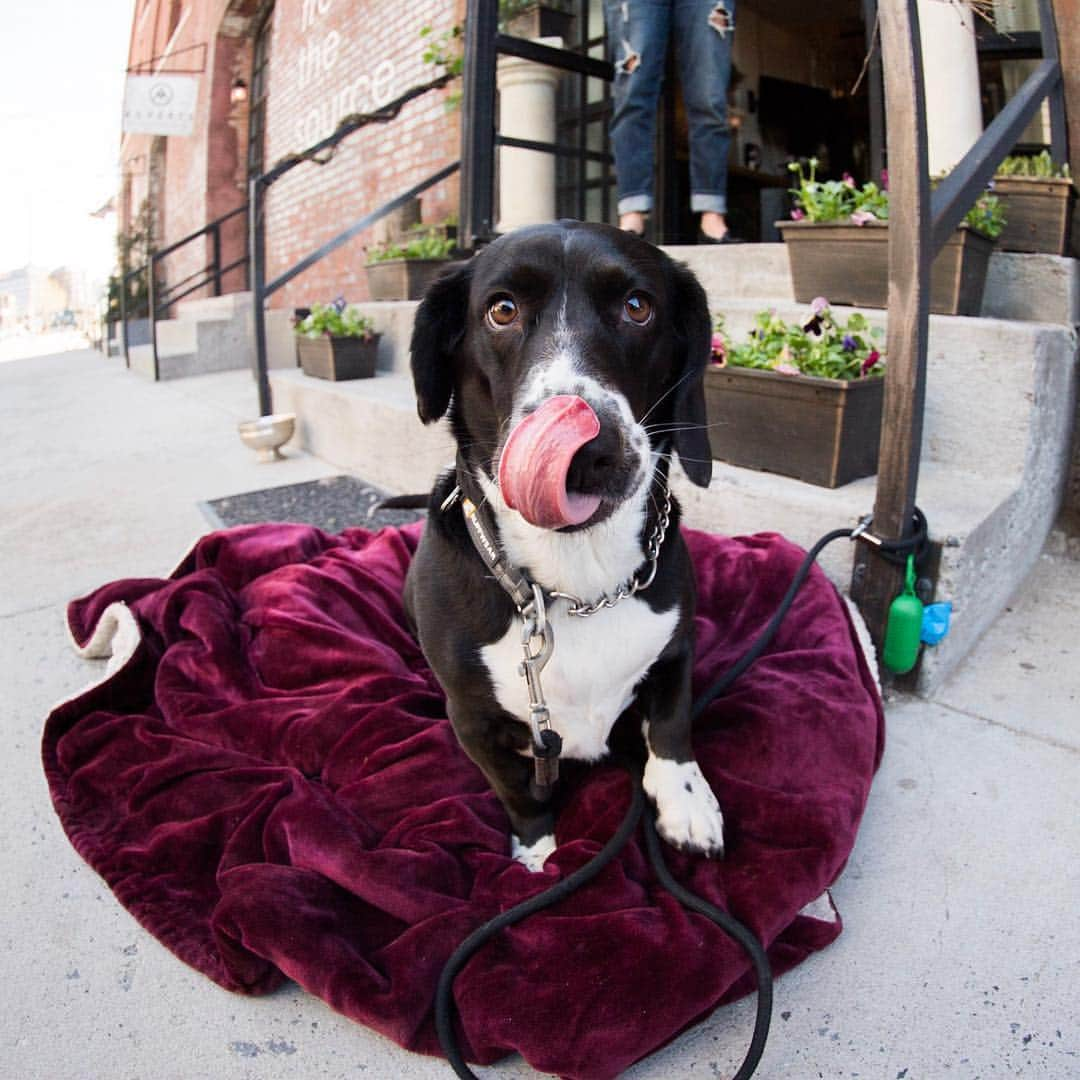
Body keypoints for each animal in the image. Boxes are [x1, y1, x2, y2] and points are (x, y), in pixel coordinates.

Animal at [401, 219, 721, 868]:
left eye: (637, 306)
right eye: (501, 310)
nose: (586, 450)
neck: (579, 580)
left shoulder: (677, 651)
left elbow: (672, 728)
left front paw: (687, 804)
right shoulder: (471, 720)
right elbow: (516, 790)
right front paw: (539, 852)